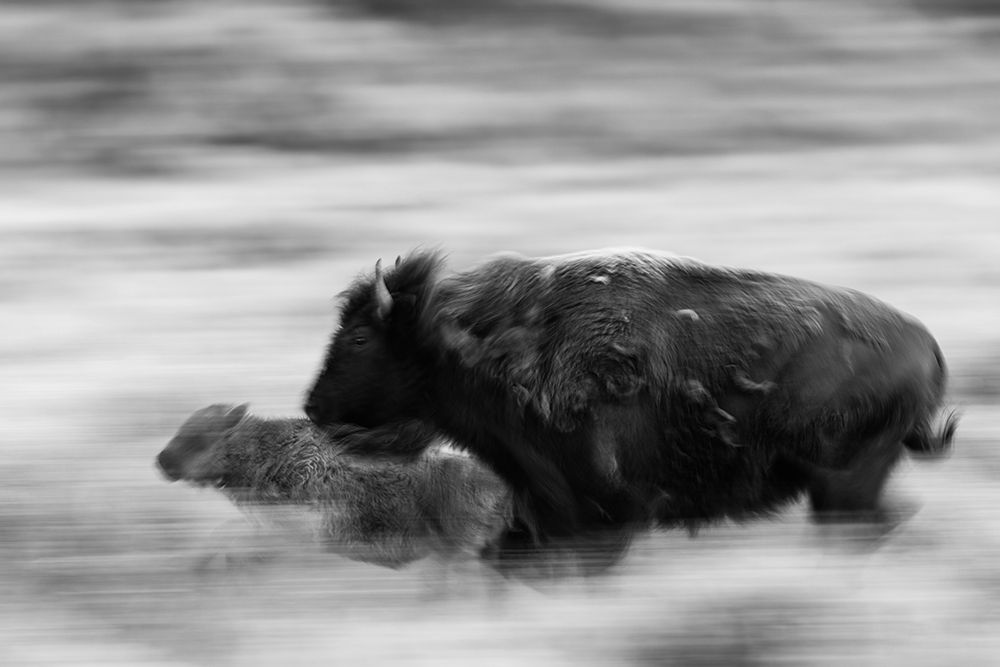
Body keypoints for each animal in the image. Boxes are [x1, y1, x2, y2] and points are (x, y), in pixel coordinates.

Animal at [304, 248, 958, 571]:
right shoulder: (541, 510)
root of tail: (926, 344)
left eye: (359, 337)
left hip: (844, 486)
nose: (312, 406)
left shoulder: (598, 517)